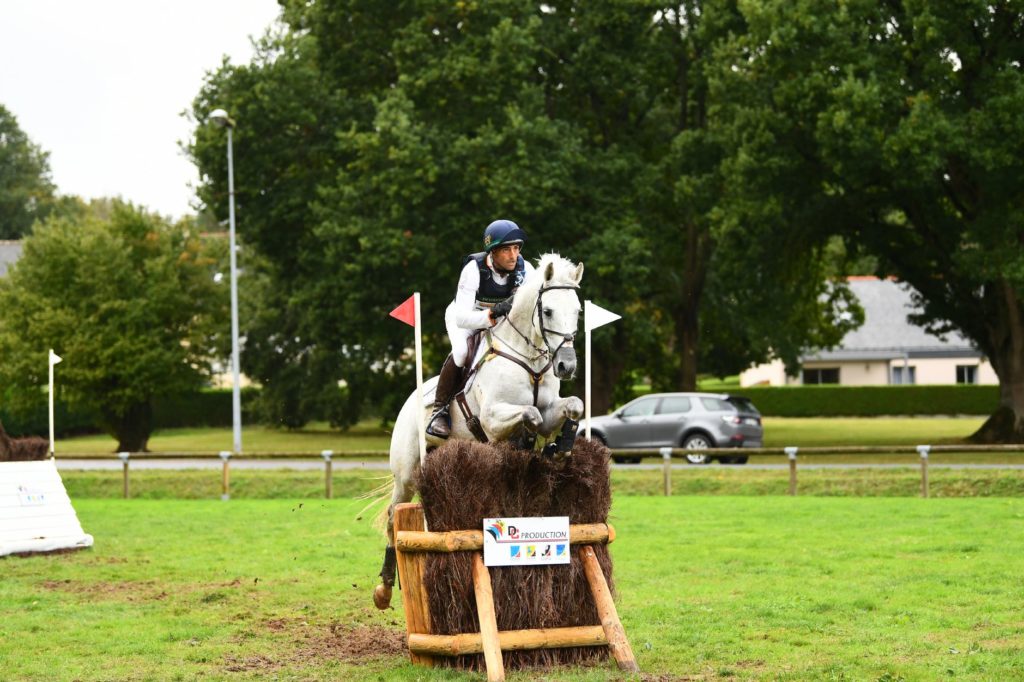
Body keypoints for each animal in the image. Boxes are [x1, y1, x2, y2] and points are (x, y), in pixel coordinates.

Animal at [374, 250, 585, 606]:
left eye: (578, 312)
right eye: (548, 311)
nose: (566, 366)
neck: (528, 357)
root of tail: (411, 399)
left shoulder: (552, 408)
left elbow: (573, 406)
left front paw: (558, 447)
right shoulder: (492, 417)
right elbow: (531, 415)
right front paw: (532, 444)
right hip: (405, 473)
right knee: (393, 517)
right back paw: (385, 587)